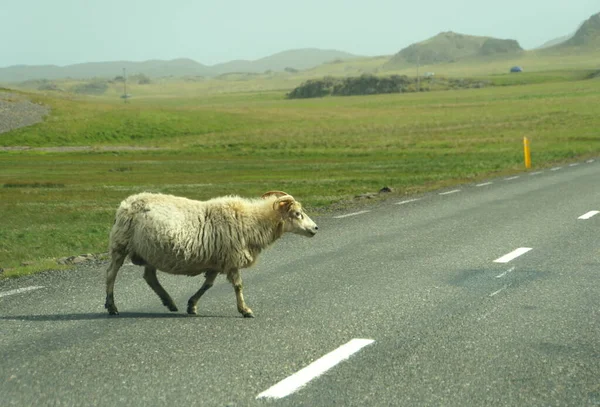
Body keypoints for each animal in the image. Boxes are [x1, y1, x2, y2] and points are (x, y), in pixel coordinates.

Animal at [104, 191, 318, 318]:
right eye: (297, 214)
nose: (316, 228)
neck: (252, 221)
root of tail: (126, 203)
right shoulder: (231, 258)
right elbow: (238, 286)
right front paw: (245, 310)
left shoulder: (217, 260)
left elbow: (208, 285)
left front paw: (192, 305)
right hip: (120, 245)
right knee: (111, 275)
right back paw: (111, 306)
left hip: (151, 251)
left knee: (149, 277)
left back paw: (170, 302)